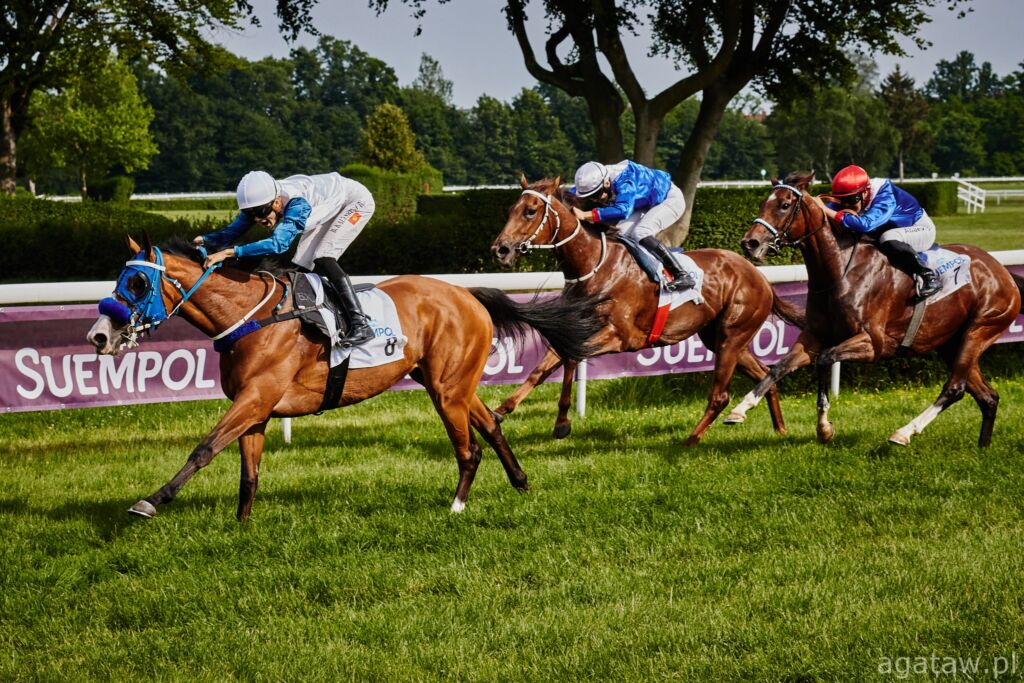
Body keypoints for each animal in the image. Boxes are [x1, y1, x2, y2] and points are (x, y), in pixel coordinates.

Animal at [86, 235, 603, 520]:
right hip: (451, 383)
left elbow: (203, 449)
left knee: (468, 448)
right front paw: (241, 525)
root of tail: (468, 295)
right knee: (492, 424)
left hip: (447, 391)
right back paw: (521, 483)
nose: (98, 335)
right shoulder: (256, 410)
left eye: (137, 283)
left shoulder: (256, 398)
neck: (251, 317)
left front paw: (151, 501)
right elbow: (248, 474)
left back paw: (456, 507)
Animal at [489, 176, 803, 446]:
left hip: (733, 335)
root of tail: (759, 276)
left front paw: (562, 423)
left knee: (720, 396)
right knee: (765, 375)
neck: (595, 265)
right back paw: (781, 430)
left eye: (530, 211)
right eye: (510, 210)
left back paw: (691, 441)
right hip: (722, 338)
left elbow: (570, 357)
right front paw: (502, 410)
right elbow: (542, 368)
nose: (500, 249)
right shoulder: (578, 328)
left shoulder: (620, 337)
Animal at [732, 171, 1024, 447]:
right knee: (987, 396)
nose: (750, 242)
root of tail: (1003, 273)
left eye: (784, 205)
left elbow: (826, 358)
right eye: (762, 203)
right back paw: (982, 447)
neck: (841, 268)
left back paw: (904, 433)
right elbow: (779, 368)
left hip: (980, 329)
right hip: (951, 343)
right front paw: (740, 409)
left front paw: (824, 427)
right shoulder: (813, 336)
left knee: (955, 387)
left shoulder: (873, 342)